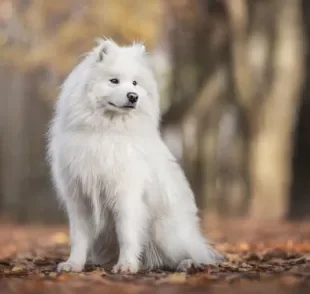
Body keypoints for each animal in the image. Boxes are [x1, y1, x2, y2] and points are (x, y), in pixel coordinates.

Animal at [47, 38, 223, 274]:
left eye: (135, 83)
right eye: (114, 81)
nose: (133, 96)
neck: (106, 131)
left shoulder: (125, 194)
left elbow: (127, 234)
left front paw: (126, 265)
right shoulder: (79, 198)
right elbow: (79, 238)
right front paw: (73, 264)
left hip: (165, 233)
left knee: (193, 255)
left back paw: (188, 263)